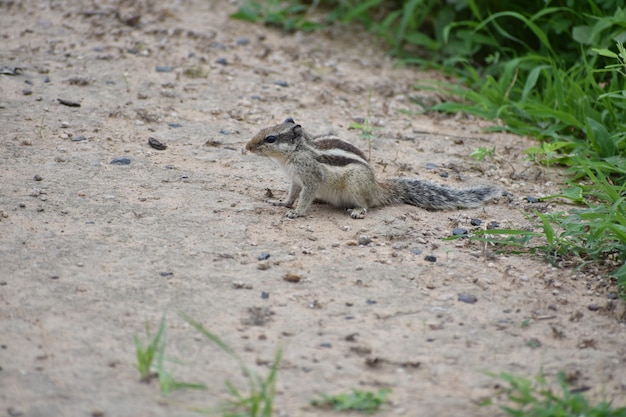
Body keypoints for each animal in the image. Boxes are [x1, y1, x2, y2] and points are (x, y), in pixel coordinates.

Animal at [245, 117, 502, 219]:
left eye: (270, 138)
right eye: (264, 129)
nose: (246, 147)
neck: (294, 154)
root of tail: (377, 189)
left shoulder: (310, 178)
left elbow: (306, 195)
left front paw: (297, 212)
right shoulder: (295, 180)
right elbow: (292, 194)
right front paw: (282, 203)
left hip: (355, 184)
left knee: (367, 205)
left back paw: (358, 211)